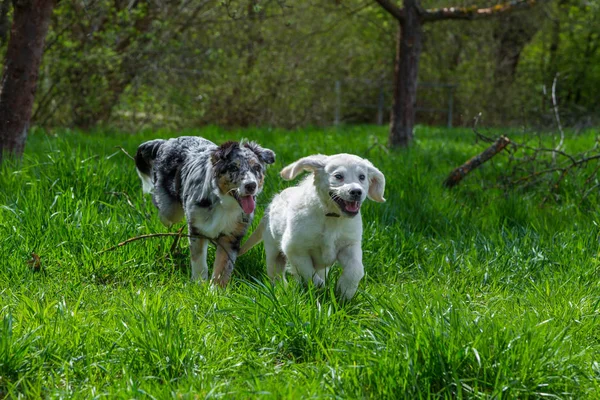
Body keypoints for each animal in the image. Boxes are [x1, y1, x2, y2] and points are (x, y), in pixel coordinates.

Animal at [135, 136, 276, 286]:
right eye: (233, 167)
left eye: (257, 168)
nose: (251, 185)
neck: (224, 203)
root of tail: (167, 141)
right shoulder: (197, 229)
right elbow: (199, 261)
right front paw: (199, 284)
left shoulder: (231, 237)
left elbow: (222, 267)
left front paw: (215, 289)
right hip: (170, 210)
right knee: (163, 212)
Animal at [241, 153, 386, 300]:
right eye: (338, 176)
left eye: (362, 177)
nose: (356, 192)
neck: (331, 217)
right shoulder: (295, 249)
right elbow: (309, 274)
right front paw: (321, 290)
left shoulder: (349, 245)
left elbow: (356, 269)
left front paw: (345, 291)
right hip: (273, 252)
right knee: (276, 274)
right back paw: (282, 290)